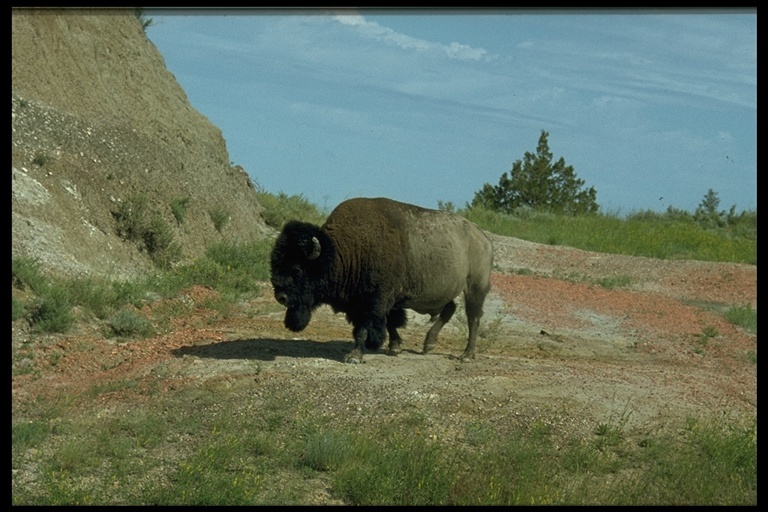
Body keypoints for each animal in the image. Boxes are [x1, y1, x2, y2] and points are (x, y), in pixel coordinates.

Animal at [270, 197, 496, 364]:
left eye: (297, 269)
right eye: (275, 264)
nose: (280, 296)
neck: (344, 251)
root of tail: (483, 237)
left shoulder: (373, 302)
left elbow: (364, 328)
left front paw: (354, 356)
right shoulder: (378, 302)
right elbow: (389, 323)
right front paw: (394, 347)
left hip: (475, 287)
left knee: (473, 318)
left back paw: (466, 355)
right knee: (449, 309)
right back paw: (428, 345)